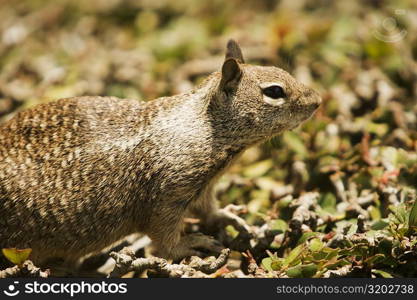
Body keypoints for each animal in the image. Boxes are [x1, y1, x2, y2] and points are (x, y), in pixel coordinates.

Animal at [0, 40, 322, 270]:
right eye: (275, 91)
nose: (318, 100)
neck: (204, 126)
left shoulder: (203, 187)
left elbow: (208, 209)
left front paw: (229, 216)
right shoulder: (166, 196)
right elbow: (164, 238)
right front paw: (190, 243)